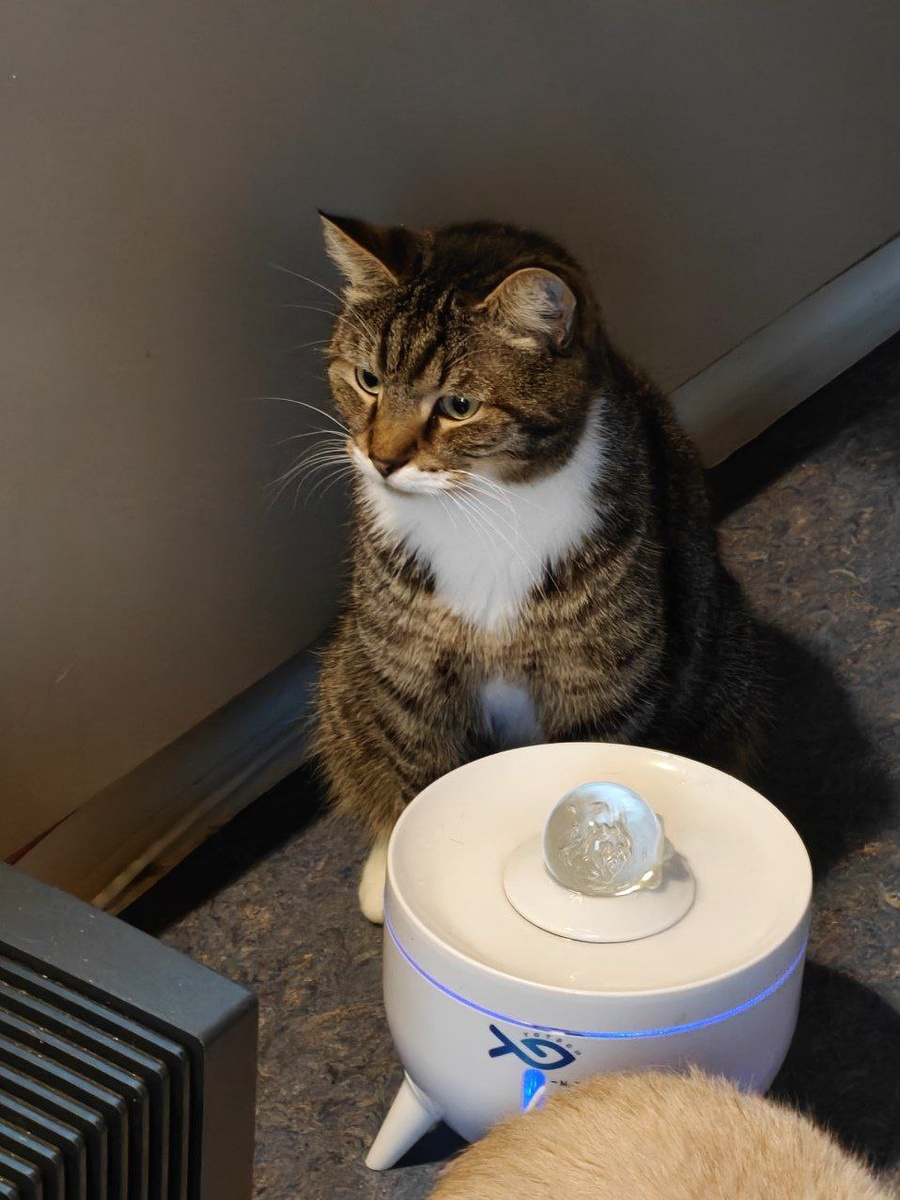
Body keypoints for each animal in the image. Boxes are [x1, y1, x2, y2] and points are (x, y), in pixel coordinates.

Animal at [313, 213, 764, 922]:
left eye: (459, 405)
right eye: (367, 380)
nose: (381, 461)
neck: (482, 506)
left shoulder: (602, 684)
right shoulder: (410, 678)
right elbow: (418, 784)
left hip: (725, 657)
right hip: (348, 675)